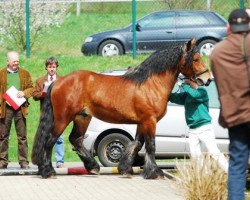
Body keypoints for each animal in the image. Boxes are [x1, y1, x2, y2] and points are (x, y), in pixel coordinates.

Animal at [30, 38, 211, 178]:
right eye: (195, 59)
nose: (208, 79)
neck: (151, 84)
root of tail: (57, 82)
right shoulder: (150, 121)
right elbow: (151, 145)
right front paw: (155, 172)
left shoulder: (142, 122)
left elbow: (137, 143)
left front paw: (126, 168)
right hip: (63, 118)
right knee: (50, 141)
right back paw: (48, 171)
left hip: (82, 117)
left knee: (75, 139)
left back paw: (93, 167)